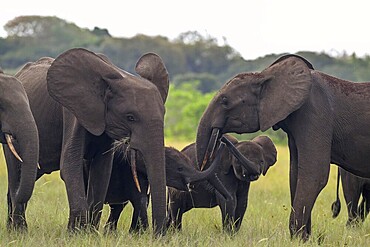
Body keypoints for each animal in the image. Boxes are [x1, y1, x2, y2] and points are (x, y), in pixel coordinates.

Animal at [14, 47, 170, 233]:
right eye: (130, 117)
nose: (157, 235)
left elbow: (102, 170)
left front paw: (90, 233)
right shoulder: (73, 111)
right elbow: (70, 163)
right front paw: (77, 234)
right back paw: (17, 230)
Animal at [197, 53, 370, 239]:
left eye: (225, 101)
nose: (222, 139)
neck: (264, 75)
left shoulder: (315, 114)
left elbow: (314, 174)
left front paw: (297, 237)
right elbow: (295, 174)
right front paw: (303, 239)